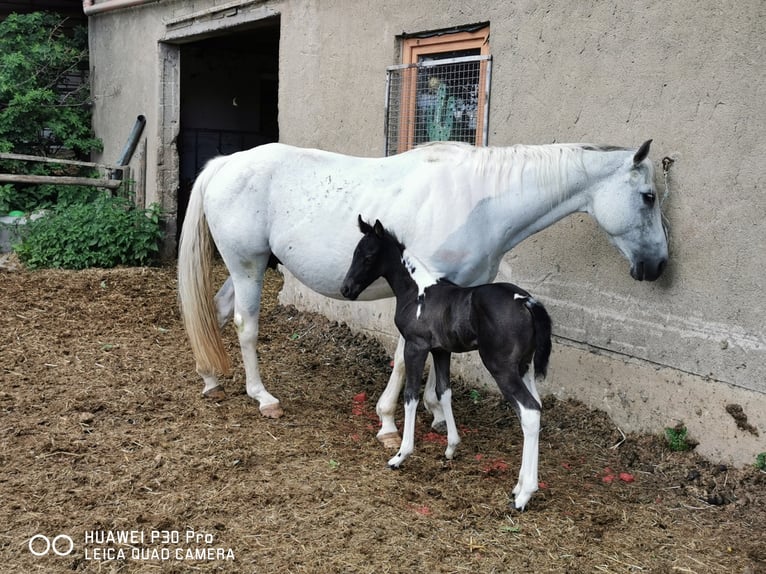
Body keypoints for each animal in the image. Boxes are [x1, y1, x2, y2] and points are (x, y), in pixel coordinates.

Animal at [177, 139, 667, 445]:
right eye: (648, 196)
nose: (659, 264)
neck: (481, 200)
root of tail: (226, 163)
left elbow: (438, 359)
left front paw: (434, 412)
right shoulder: (419, 295)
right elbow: (402, 359)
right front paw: (388, 423)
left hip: (245, 267)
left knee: (216, 312)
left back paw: (211, 380)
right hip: (248, 266)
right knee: (245, 324)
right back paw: (263, 397)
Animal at [341, 217, 552, 511]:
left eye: (369, 255)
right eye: (354, 253)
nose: (346, 289)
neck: (417, 292)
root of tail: (527, 301)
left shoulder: (416, 347)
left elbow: (411, 396)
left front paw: (401, 455)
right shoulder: (441, 351)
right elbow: (444, 392)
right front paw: (451, 447)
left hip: (501, 367)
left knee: (530, 411)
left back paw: (524, 495)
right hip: (525, 367)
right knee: (534, 409)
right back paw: (519, 486)